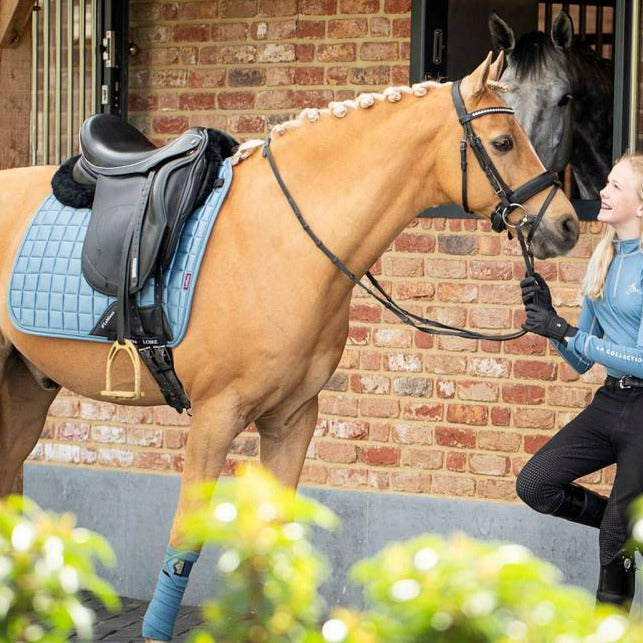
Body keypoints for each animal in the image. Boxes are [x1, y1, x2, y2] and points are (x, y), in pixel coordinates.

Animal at [0, 54, 580, 640]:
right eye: (503, 141)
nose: (568, 224)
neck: (283, 240)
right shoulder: (215, 417)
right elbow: (185, 539)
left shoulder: (293, 417)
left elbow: (276, 544)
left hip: (25, 392)